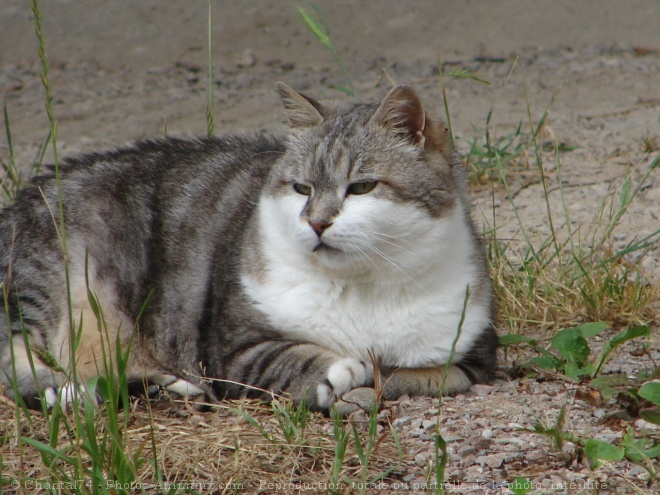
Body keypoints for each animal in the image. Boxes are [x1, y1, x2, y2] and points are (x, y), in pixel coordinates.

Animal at [0, 83, 496, 412]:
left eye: (362, 187)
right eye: (301, 188)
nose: (316, 221)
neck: (358, 286)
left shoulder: (474, 358)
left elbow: (421, 376)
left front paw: (370, 381)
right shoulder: (229, 348)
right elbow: (286, 355)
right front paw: (336, 371)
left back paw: (164, 385)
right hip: (49, 288)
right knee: (18, 364)